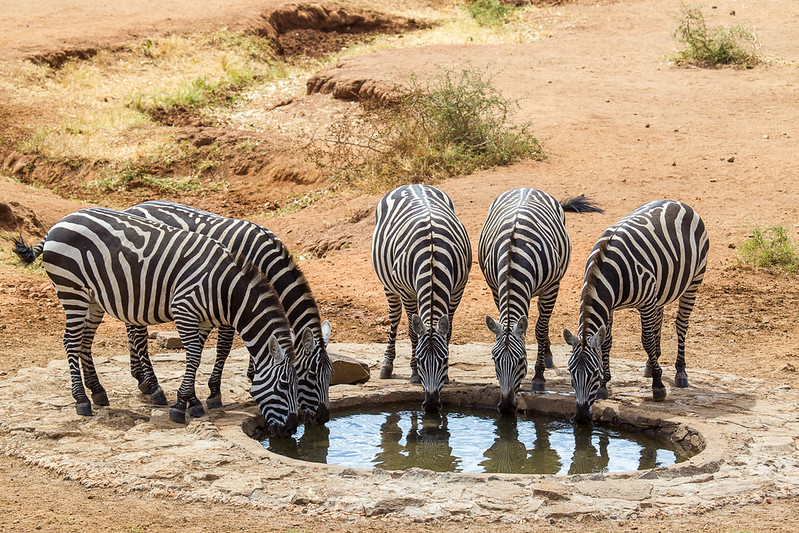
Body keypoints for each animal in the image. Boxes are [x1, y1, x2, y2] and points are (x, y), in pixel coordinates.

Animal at [12, 206, 300, 434]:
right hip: (71, 290)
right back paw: (82, 400)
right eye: (285, 385)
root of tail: (56, 225)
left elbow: (196, 356)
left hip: (92, 298)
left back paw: (98, 391)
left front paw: (192, 400)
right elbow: (195, 355)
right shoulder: (184, 308)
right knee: (71, 341)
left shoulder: (203, 319)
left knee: (85, 341)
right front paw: (182, 404)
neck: (224, 289)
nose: (292, 429)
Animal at [122, 200, 334, 424]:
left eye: (330, 375)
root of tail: (134, 207)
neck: (263, 258)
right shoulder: (231, 300)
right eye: (311, 375)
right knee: (137, 331)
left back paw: (140, 378)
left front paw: (252, 372)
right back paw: (153, 386)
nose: (323, 418)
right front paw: (214, 393)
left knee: (131, 325)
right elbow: (224, 347)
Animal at [372, 183, 472, 412]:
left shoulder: (458, 290)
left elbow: (448, 330)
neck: (433, 255)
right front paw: (414, 373)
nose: (432, 405)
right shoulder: (407, 292)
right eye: (420, 360)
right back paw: (387, 366)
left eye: (444, 361)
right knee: (394, 318)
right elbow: (412, 331)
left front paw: (448, 376)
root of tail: (413, 184)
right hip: (388, 285)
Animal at [478, 189, 604, 414]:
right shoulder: (495, 288)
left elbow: (540, 329)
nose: (506, 407)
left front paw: (538, 376)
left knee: (542, 323)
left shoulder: (551, 287)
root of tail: (526, 188)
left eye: (521, 360)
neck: (512, 257)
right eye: (494, 360)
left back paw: (546, 354)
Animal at [564, 200, 708, 424]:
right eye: (570, 373)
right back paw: (651, 363)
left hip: (694, 280)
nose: (580, 418)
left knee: (681, 325)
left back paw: (680, 372)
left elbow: (646, 340)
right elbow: (607, 342)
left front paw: (658, 386)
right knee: (659, 319)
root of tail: (678, 202)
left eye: (594, 373)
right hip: (662, 288)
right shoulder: (610, 307)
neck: (607, 272)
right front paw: (605, 386)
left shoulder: (646, 301)